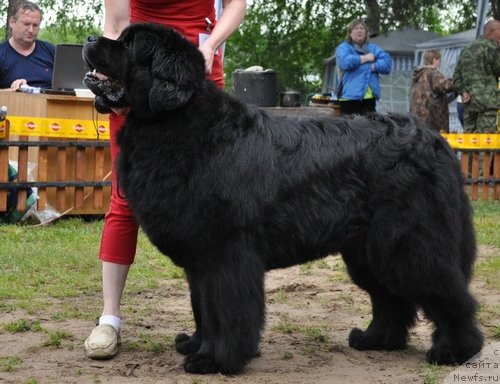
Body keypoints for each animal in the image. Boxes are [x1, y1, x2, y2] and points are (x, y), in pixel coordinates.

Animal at [83, 22, 484, 374]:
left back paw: (454, 351)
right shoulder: (200, 259)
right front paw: (196, 345)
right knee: (391, 299)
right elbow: (203, 308)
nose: (89, 38)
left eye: (130, 45)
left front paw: (216, 360)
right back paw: (375, 340)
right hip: (367, 251)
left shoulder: (226, 253)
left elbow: (225, 312)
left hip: (408, 244)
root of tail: (435, 140)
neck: (176, 121)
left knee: (449, 295)